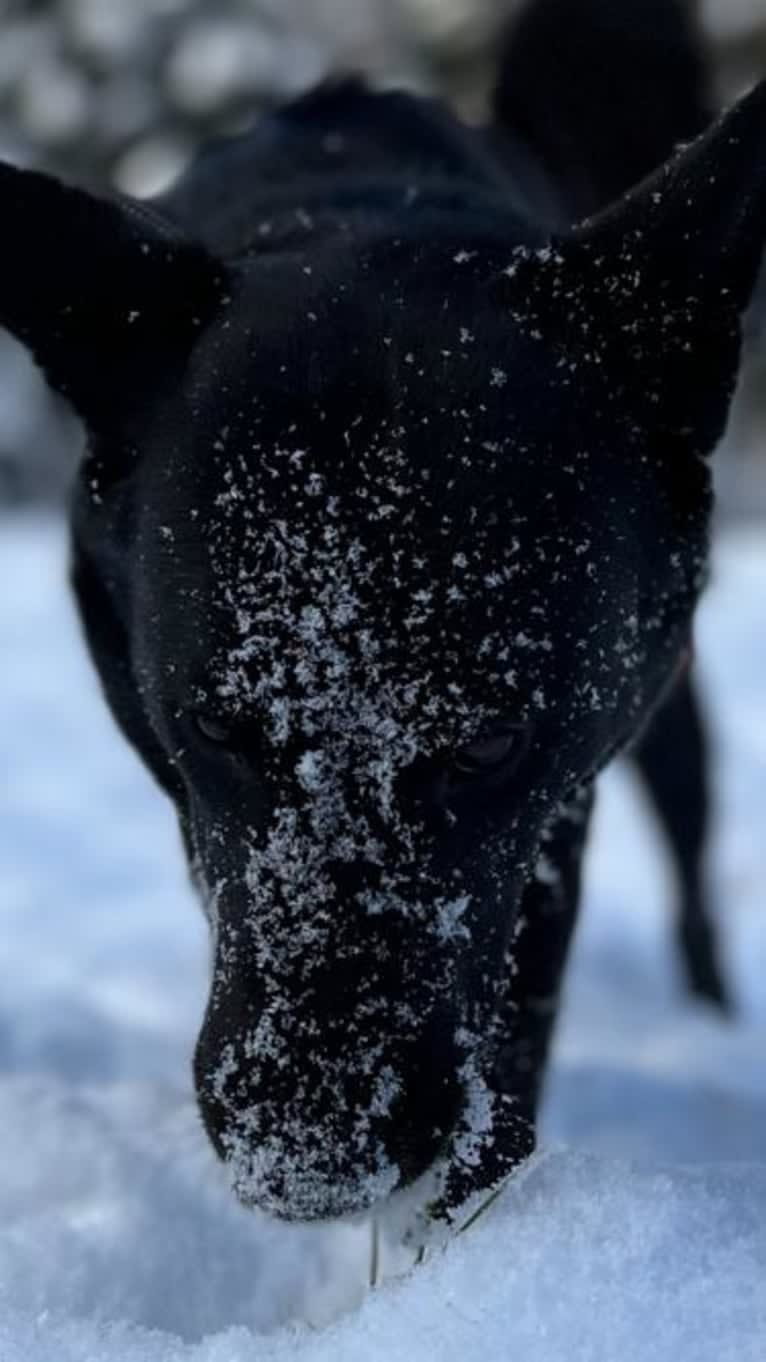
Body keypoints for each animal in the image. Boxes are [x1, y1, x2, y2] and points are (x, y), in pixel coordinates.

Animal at [5, 0, 763, 1236]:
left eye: (488, 743)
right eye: (215, 726)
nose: (309, 1157)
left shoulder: (553, 804)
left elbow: (514, 1013)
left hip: (673, 723)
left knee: (693, 874)